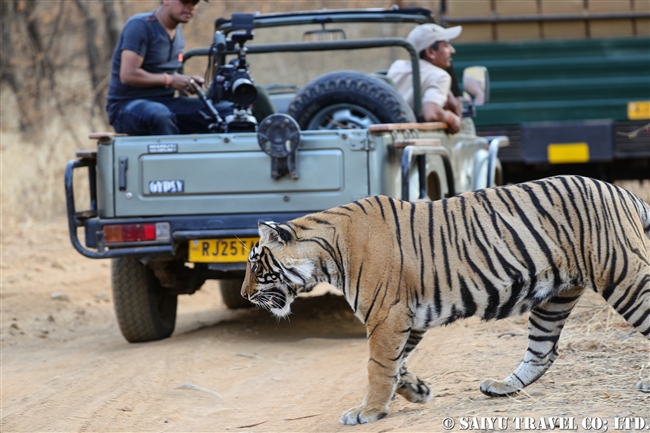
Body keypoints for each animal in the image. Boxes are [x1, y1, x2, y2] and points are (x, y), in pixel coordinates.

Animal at [239, 174, 648, 424]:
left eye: (256, 264)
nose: (244, 294)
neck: (327, 253)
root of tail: (623, 191)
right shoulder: (409, 319)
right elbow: (396, 364)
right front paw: (415, 390)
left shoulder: (386, 316)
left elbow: (377, 366)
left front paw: (368, 411)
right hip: (554, 299)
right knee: (542, 351)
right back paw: (501, 387)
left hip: (624, 275)